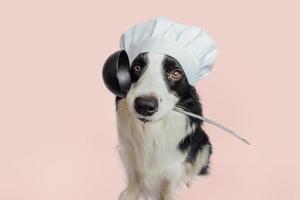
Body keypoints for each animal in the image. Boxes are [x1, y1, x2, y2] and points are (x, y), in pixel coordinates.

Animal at [115, 52, 211, 200]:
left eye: (176, 73)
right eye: (137, 67)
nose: (144, 106)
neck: (150, 131)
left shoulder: (175, 160)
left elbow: (168, 184)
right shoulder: (131, 151)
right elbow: (136, 175)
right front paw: (130, 193)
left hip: (205, 145)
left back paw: (188, 180)